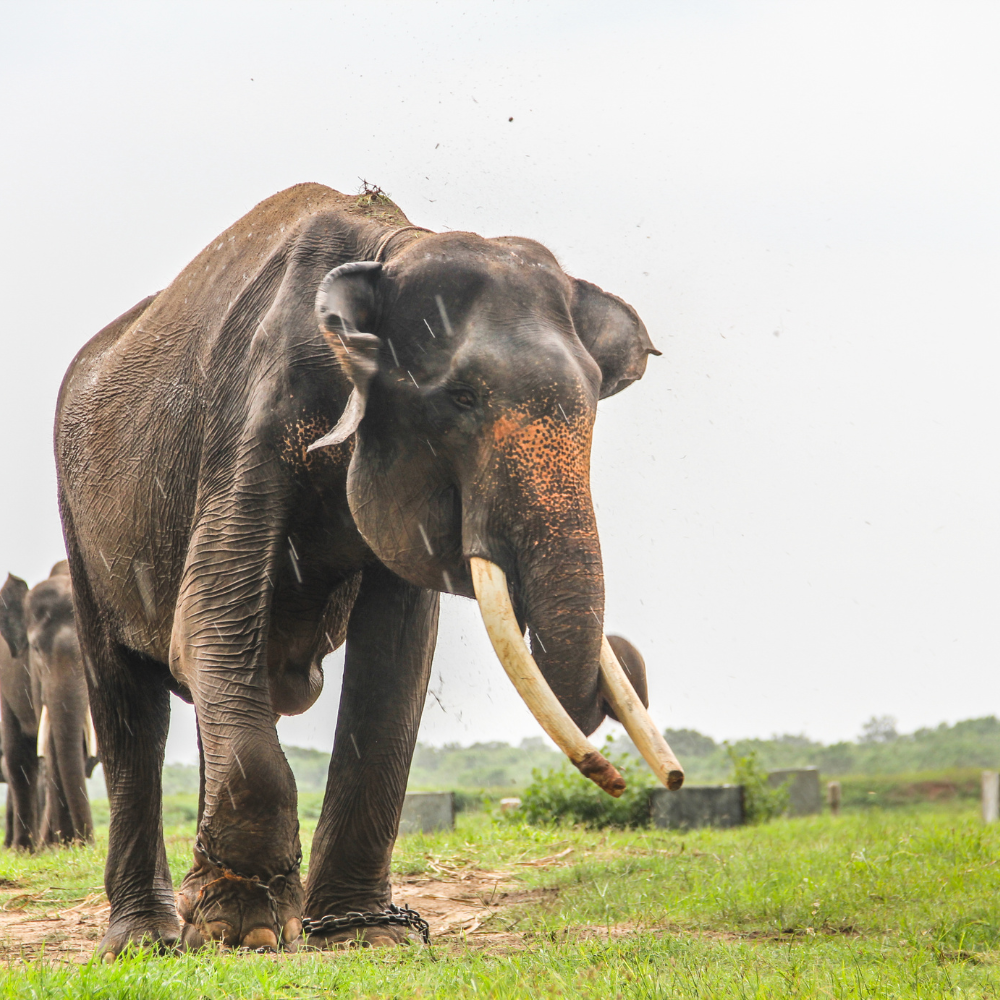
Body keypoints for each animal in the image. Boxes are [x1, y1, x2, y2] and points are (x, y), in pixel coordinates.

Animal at [0, 562, 97, 849]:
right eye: (35, 650)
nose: (89, 843)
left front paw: (67, 845)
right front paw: (61, 846)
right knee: (19, 757)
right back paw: (24, 849)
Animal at [55, 182, 681, 958]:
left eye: (596, 399)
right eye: (461, 398)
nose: (643, 776)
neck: (391, 251)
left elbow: (397, 657)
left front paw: (364, 936)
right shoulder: (249, 415)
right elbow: (206, 624)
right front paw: (247, 931)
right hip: (80, 521)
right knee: (129, 703)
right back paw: (144, 941)